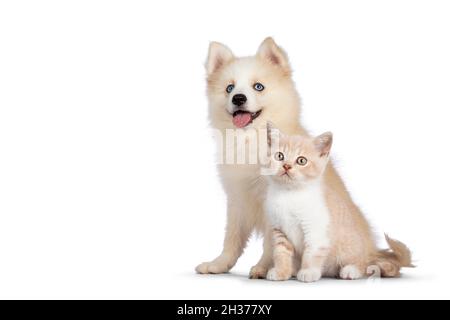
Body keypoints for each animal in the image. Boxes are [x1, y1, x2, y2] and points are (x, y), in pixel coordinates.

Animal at [264, 122, 414, 282]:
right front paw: (281, 271)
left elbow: (312, 253)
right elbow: (281, 254)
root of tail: (371, 252)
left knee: (363, 264)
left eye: (301, 160)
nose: (286, 166)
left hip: (350, 247)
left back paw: (351, 270)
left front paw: (309, 272)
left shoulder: (316, 230)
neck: (289, 194)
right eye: (280, 156)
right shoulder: (279, 230)